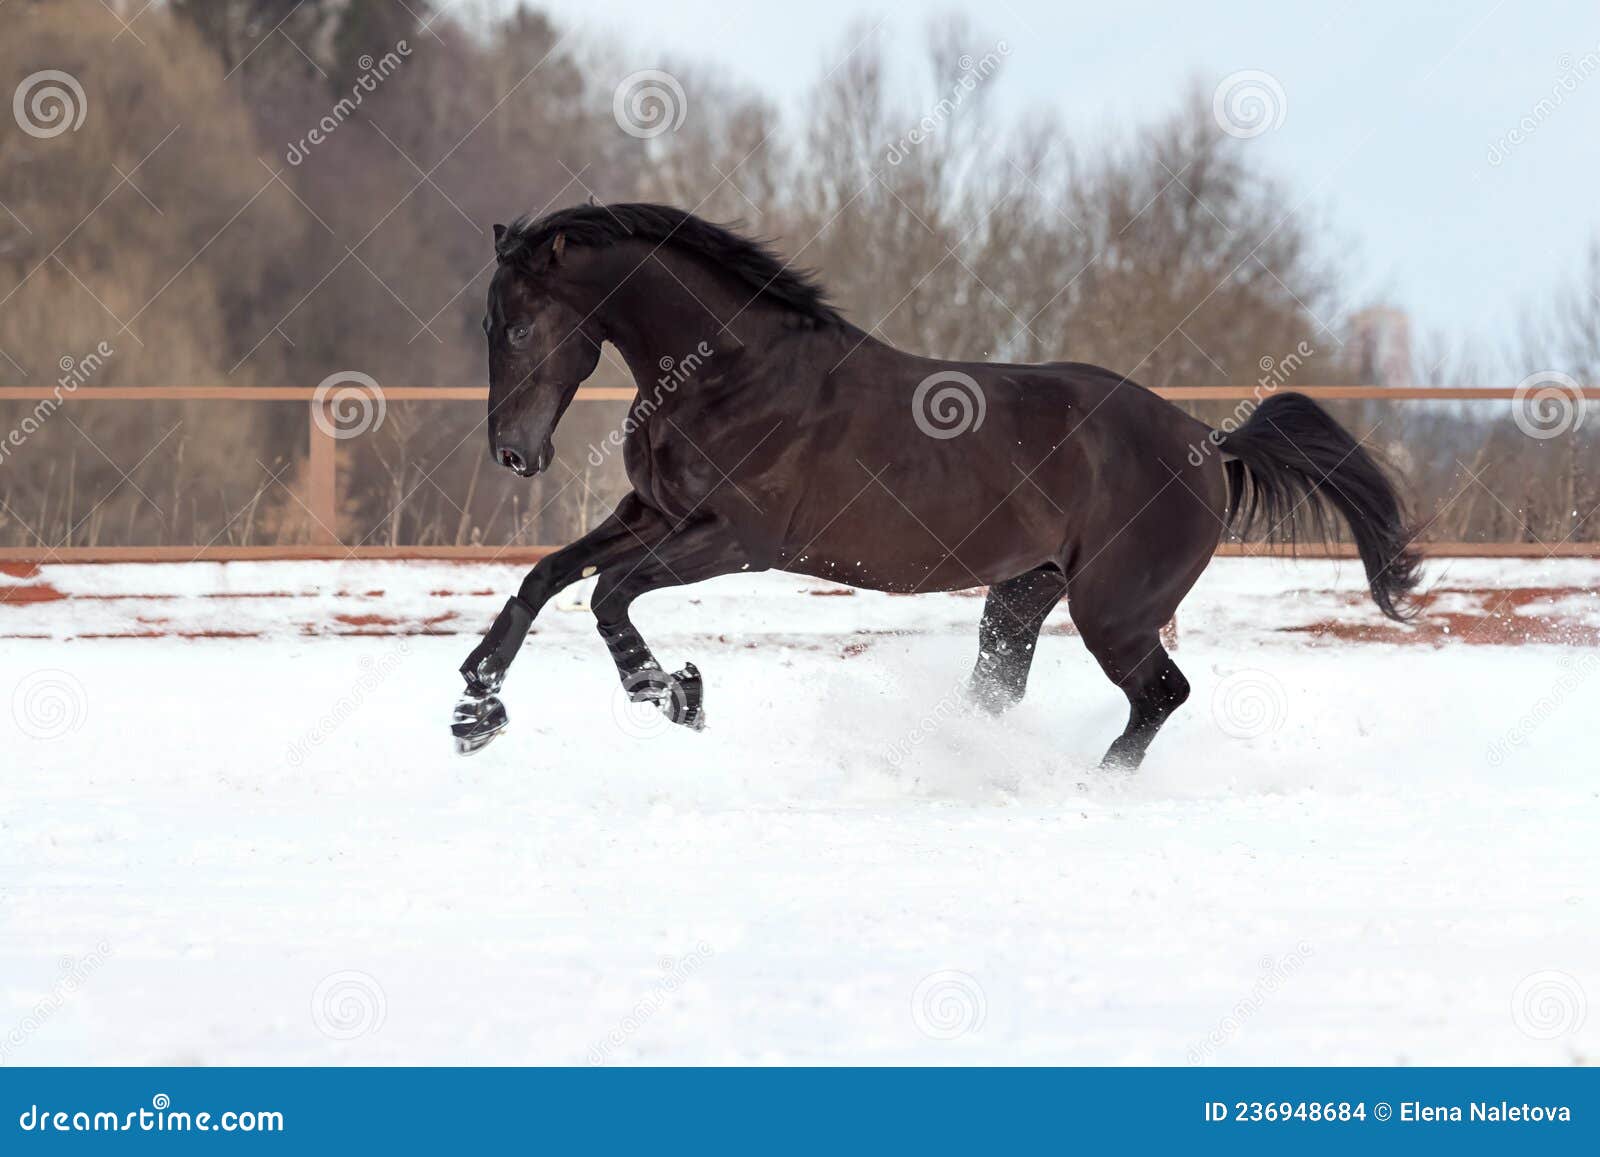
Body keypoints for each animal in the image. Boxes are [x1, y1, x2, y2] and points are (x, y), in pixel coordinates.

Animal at [451, 204, 1414, 768]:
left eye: (521, 323)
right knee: (1003, 689)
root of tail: (1210, 445)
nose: (514, 454)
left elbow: (608, 592)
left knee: (1160, 695)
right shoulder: (656, 511)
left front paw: (675, 693)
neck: (732, 373)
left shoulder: (738, 540)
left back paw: (1098, 781)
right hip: (1023, 593)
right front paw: (475, 707)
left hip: (1113, 609)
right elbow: (548, 576)